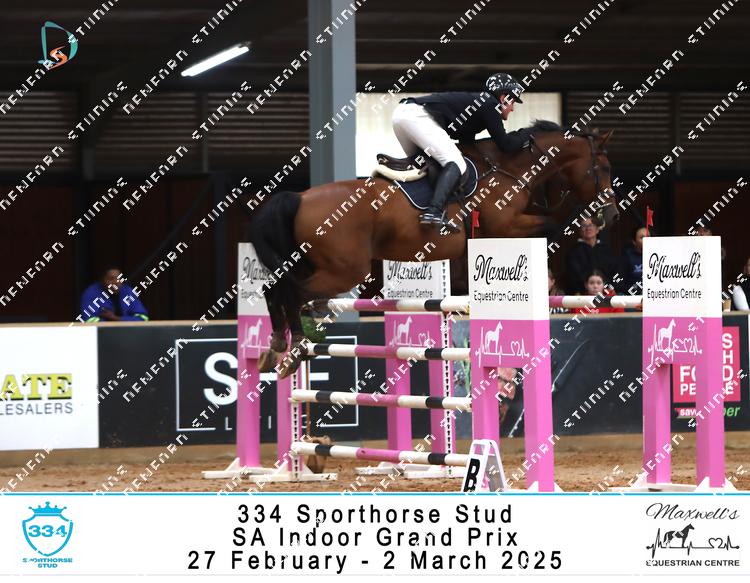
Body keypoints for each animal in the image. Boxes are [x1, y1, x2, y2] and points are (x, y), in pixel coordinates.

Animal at [249, 122, 618, 376]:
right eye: (605, 168)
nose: (612, 215)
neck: (507, 169)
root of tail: (298, 197)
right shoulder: (506, 226)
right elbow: (552, 225)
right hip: (345, 270)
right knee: (293, 292)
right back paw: (295, 347)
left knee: (274, 287)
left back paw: (275, 346)